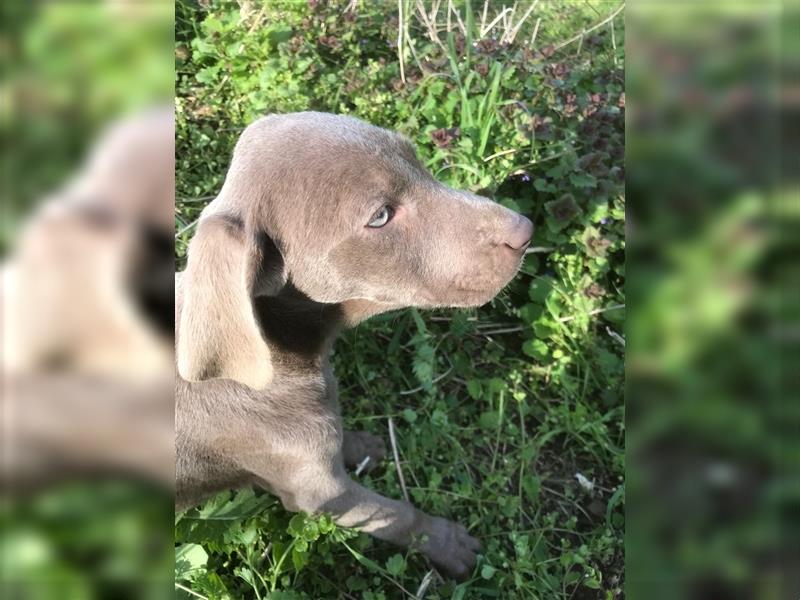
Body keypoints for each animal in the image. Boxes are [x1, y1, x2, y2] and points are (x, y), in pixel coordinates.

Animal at [175, 112, 532, 580]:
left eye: (415, 158)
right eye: (380, 216)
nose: (525, 230)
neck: (288, 350)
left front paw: (359, 445)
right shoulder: (321, 493)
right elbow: (396, 514)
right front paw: (447, 542)